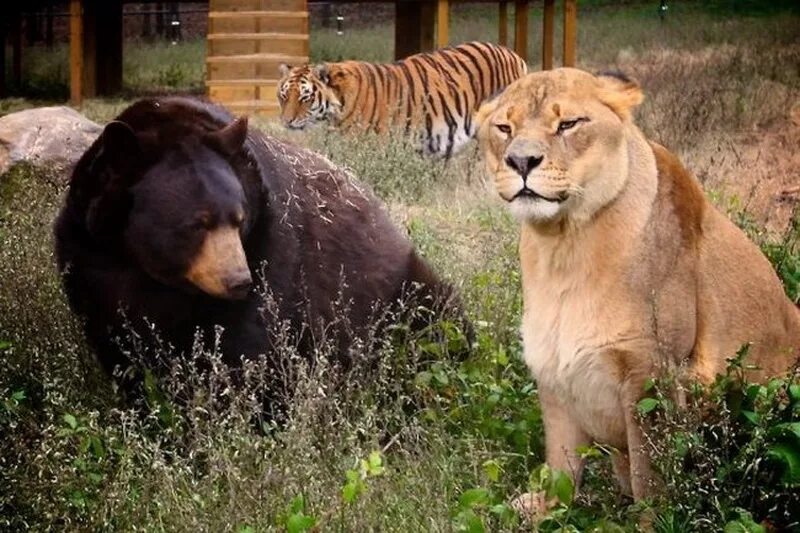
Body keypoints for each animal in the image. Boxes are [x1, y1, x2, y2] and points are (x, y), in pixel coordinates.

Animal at [54, 95, 462, 404]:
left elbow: (246, 346)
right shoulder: (89, 249)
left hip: (402, 291)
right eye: (197, 223)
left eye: (238, 218)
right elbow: (117, 339)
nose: (238, 281)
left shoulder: (271, 245)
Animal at [476, 68, 800, 512]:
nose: (521, 161)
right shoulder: (552, 366)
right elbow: (561, 463)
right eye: (504, 128)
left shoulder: (652, 373)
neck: (562, 247)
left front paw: (650, 519)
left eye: (569, 124)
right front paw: (542, 511)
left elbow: (651, 479)